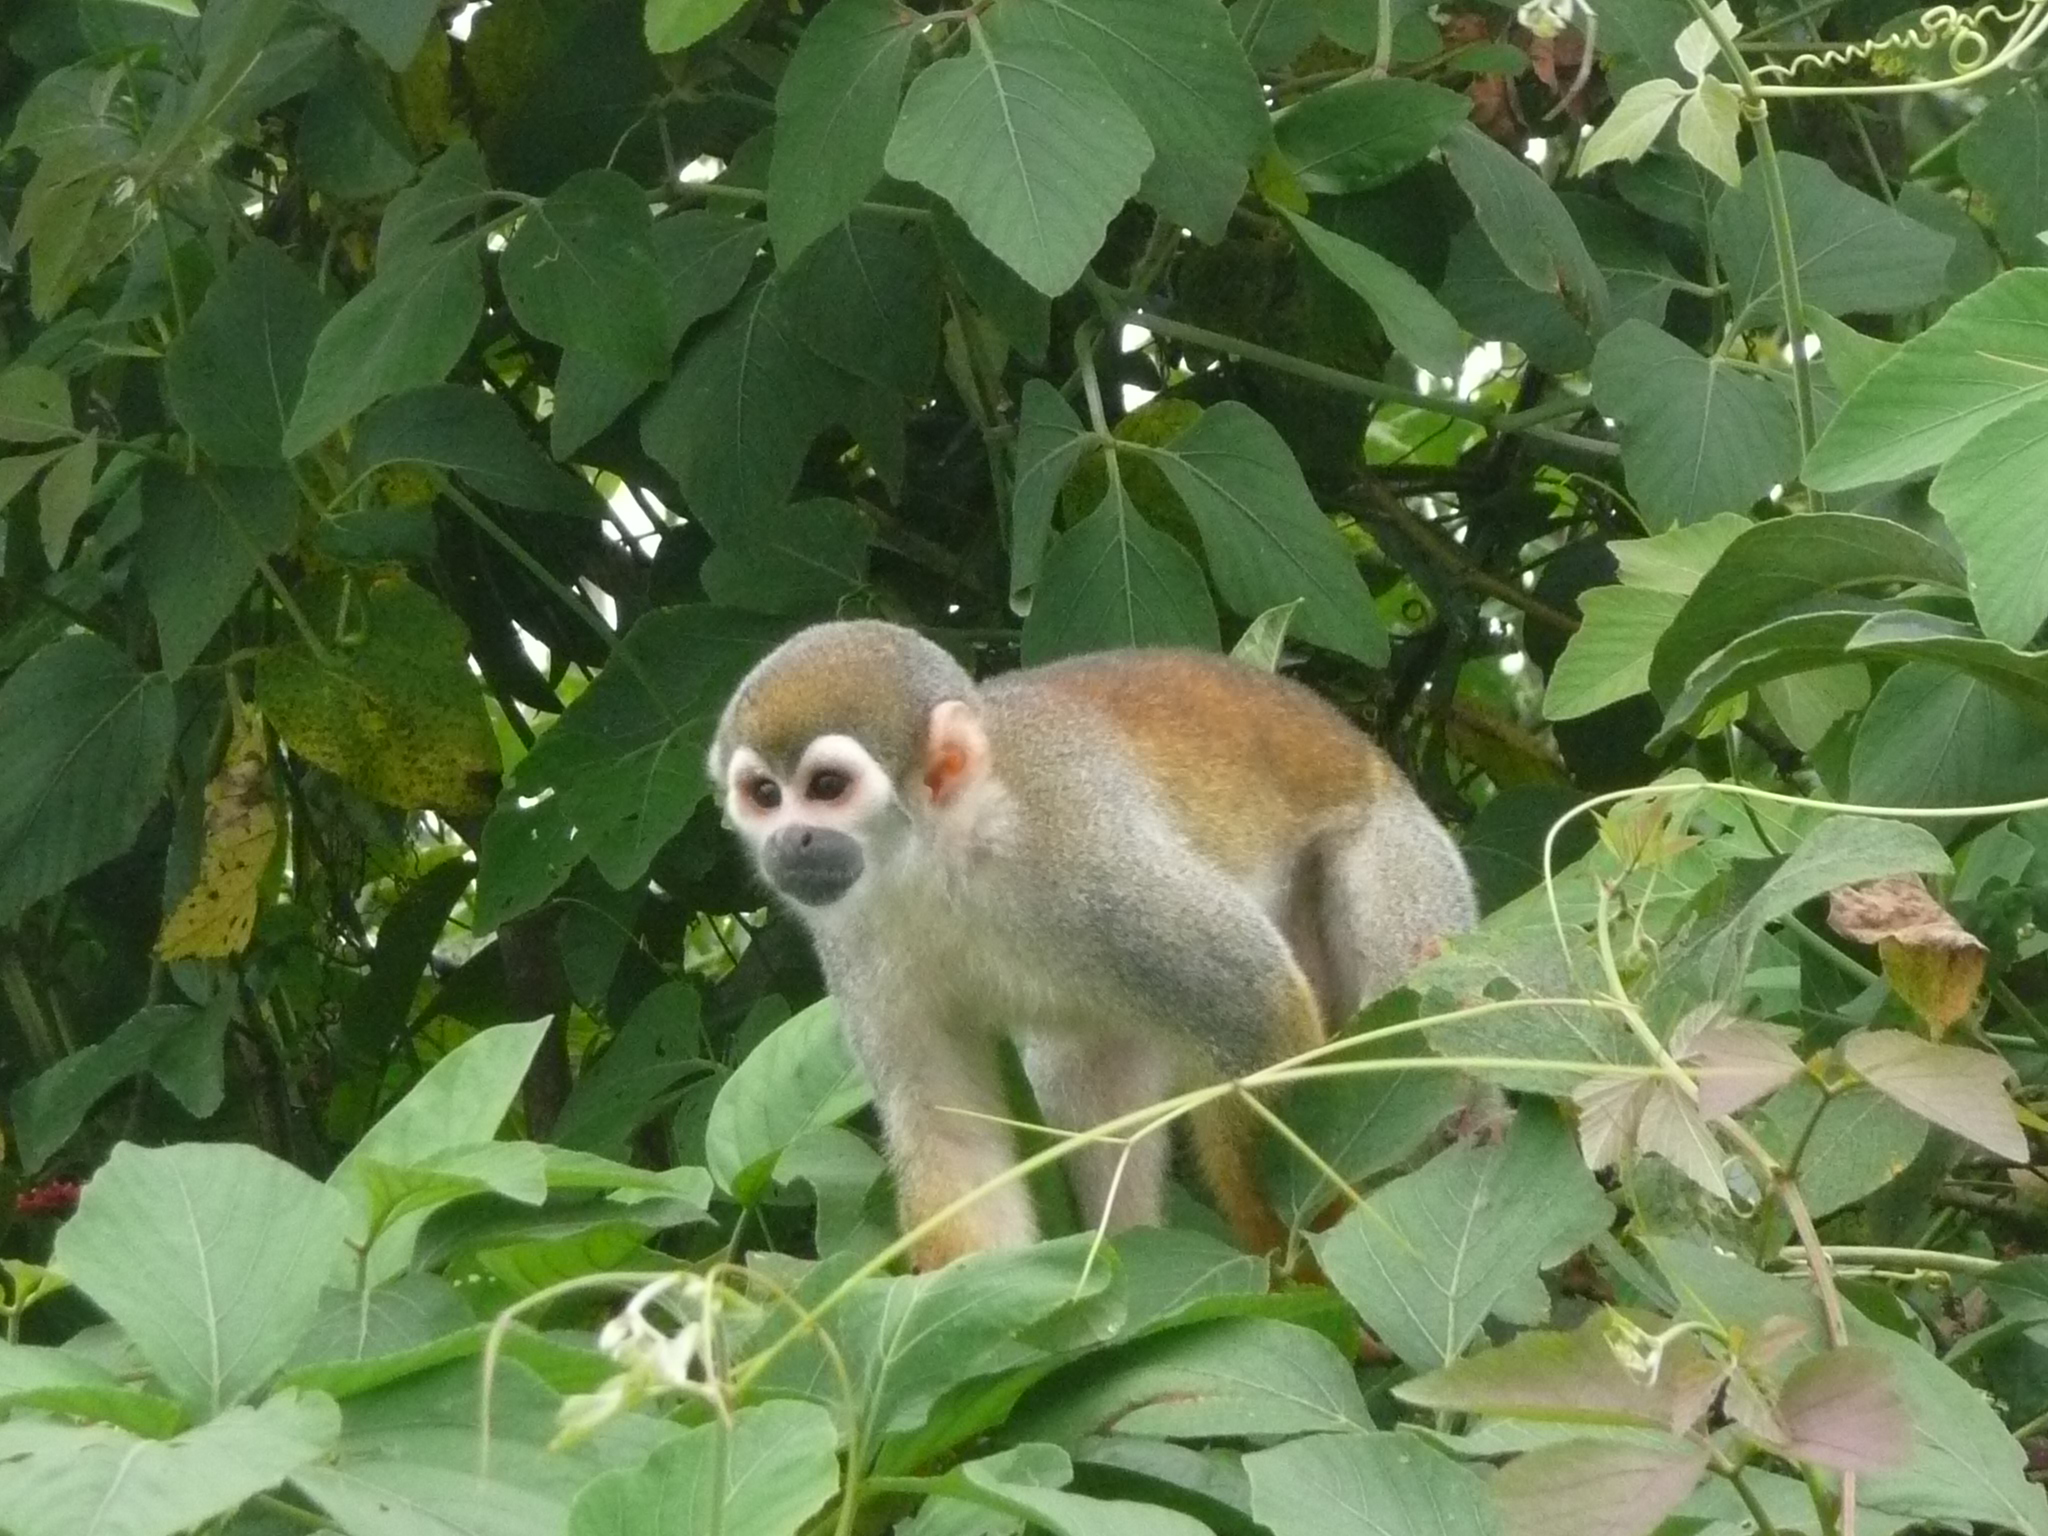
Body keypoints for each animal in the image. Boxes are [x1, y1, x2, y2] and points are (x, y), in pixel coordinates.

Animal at [707, 619, 1477, 1271]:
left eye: (827, 787)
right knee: (1082, 1069)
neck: (944, 857)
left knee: (1414, 996)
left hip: (1397, 854)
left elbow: (1255, 1008)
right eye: (765, 794)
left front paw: (1297, 1262)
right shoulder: (856, 936)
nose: (791, 841)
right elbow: (947, 1129)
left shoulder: (1088, 860)